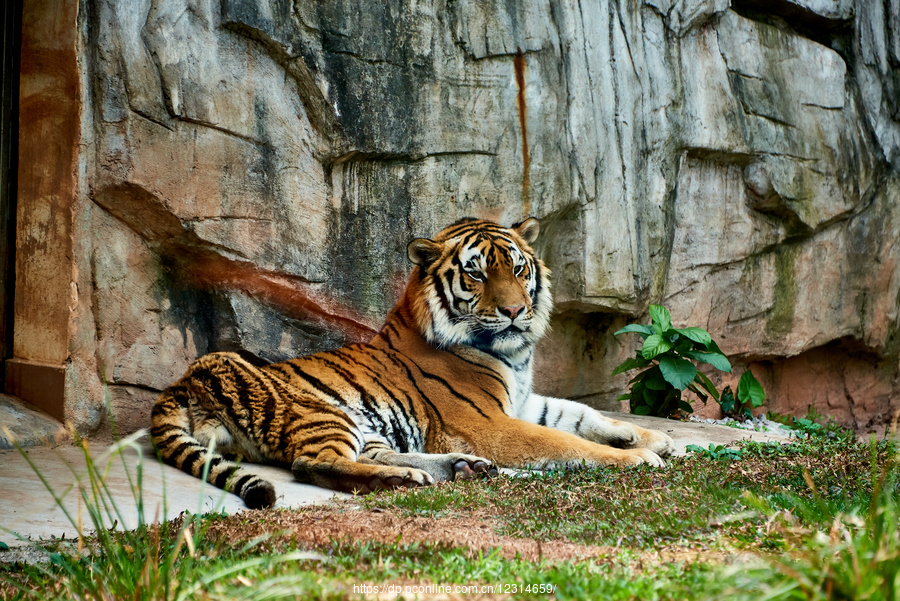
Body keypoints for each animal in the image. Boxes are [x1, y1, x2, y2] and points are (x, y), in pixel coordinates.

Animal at [153, 216, 676, 506]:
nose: (514, 311)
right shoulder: (488, 422)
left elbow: (581, 414)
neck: (511, 355)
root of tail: (179, 384)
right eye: (476, 274)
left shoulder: (522, 402)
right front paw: (639, 457)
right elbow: (563, 442)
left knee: (371, 453)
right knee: (314, 463)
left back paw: (461, 468)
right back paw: (407, 478)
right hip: (322, 412)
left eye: (517, 267)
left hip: (366, 426)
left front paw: (653, 437)